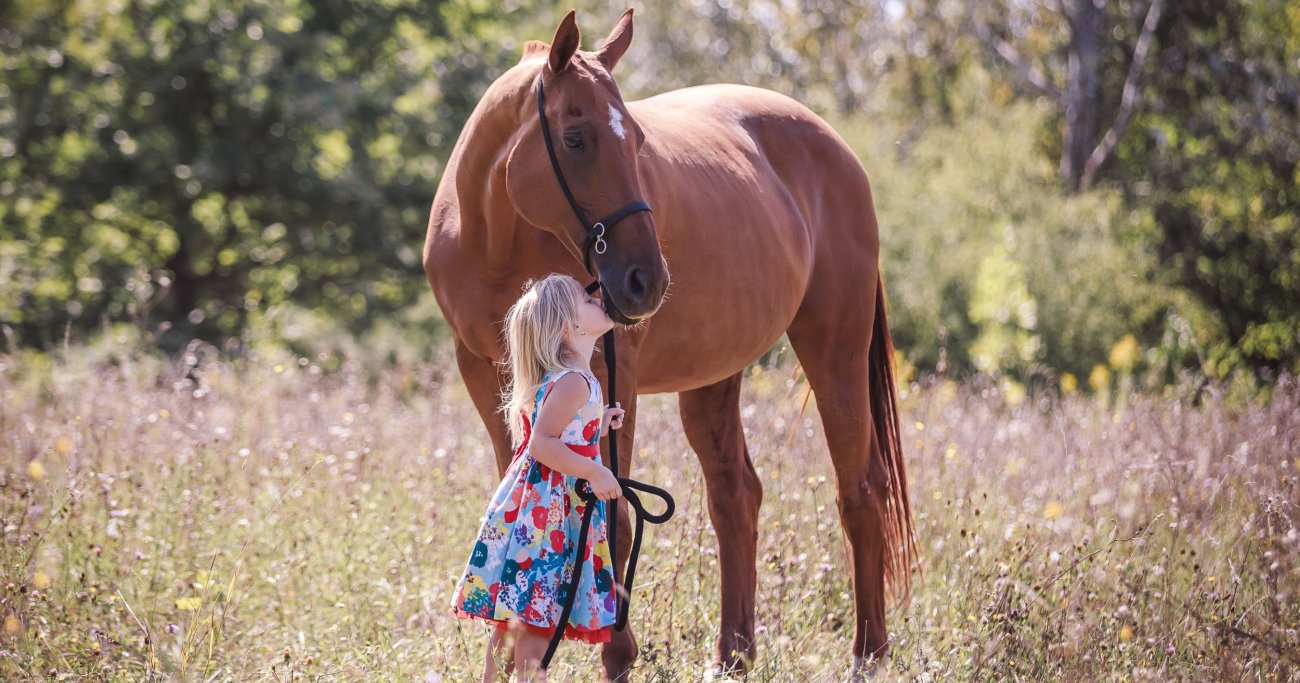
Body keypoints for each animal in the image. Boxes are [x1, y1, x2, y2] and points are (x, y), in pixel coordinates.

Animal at [426, 9, 915, 676]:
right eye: (575, 138)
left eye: (636, 138)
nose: (646, 281)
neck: (495, 235)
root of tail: (837, 150)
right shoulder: (487, 372)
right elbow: (518, 483)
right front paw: (506, 650)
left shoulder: (611, 373)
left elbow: (612, 513)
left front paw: (617, 656)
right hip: (714, 374)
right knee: (736, 495)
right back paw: (733, 657)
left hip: (833, 349)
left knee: (860, 491)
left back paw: (868, 654)